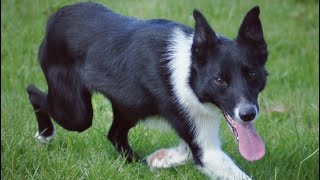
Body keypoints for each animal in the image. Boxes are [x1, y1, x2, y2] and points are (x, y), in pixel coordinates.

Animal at [26, 2, 268, 179]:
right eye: (219, 80)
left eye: (251, 74)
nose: (248, 114)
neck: (189, 70)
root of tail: (55, 17)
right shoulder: (205, 146)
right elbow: (203, 156)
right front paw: (163, 158)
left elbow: (187, 151)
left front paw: (161, 159)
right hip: (76, 113)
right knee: (33, 92)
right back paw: (44, 135)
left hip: (130, 106)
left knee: (115, 134)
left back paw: (140, 164)